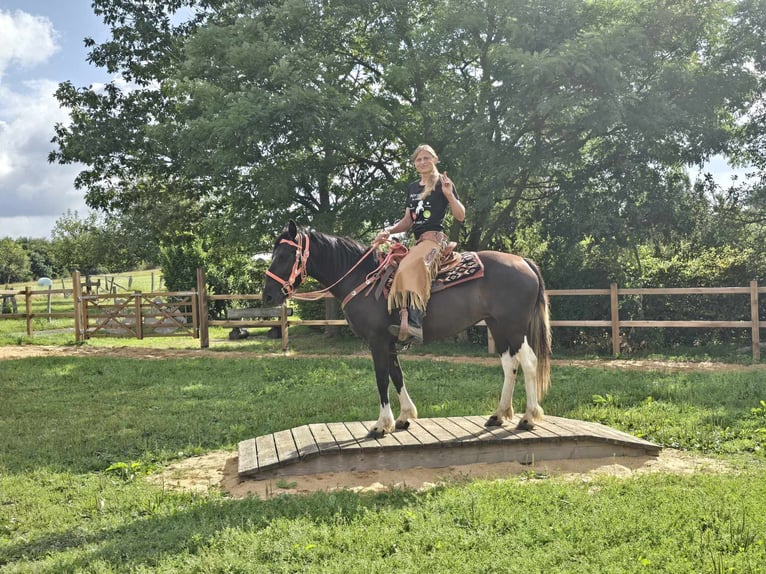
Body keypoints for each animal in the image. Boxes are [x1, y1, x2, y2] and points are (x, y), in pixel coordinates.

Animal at [264, 223, 552, 438]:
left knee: (528, 362)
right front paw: (405, 416)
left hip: (514, 327)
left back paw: (528, 418)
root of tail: (523, 261)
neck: (363, 278)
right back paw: (499, 414)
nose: (267, 296)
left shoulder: (377, 341)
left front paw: (382, 424)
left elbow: (382, 378)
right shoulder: (389, 341)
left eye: (283, 256)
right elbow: (397, 374)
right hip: (498, 326)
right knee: (509, 364)